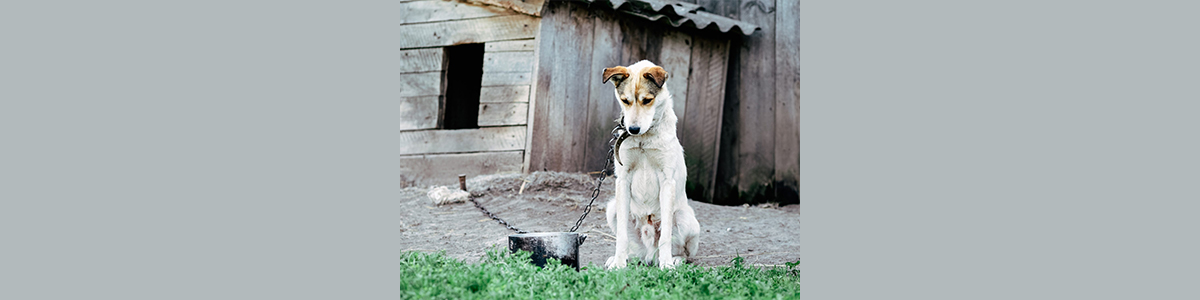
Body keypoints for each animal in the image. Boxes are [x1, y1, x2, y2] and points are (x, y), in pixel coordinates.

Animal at [600, 59, 700, 268]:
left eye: (647, 100)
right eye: (625, 100)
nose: (633, 129)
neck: (643, 140)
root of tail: (650, 255)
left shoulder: (667, 181)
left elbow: (666, 236)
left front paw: (667, 266)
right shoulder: (623, 180)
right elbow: (621, 235)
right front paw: (618, 264)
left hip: (685, 217)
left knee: (683, 251)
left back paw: (673, 260)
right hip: (612, 208)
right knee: (634, 248)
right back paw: (626, 258)